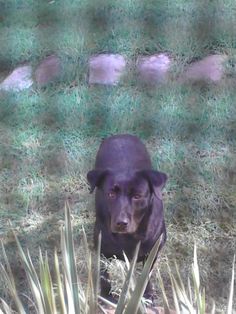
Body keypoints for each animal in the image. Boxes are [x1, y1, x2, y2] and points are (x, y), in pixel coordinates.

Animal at [87, 134, 168, 300]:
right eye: (111, 194)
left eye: (137, 196)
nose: (121, 223)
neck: (129, 237)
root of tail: (120, 135)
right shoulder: (102, 251)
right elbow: (104, 275)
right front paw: (106, 297)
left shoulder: (153, 252)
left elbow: (146, 275)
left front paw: (147, 294)